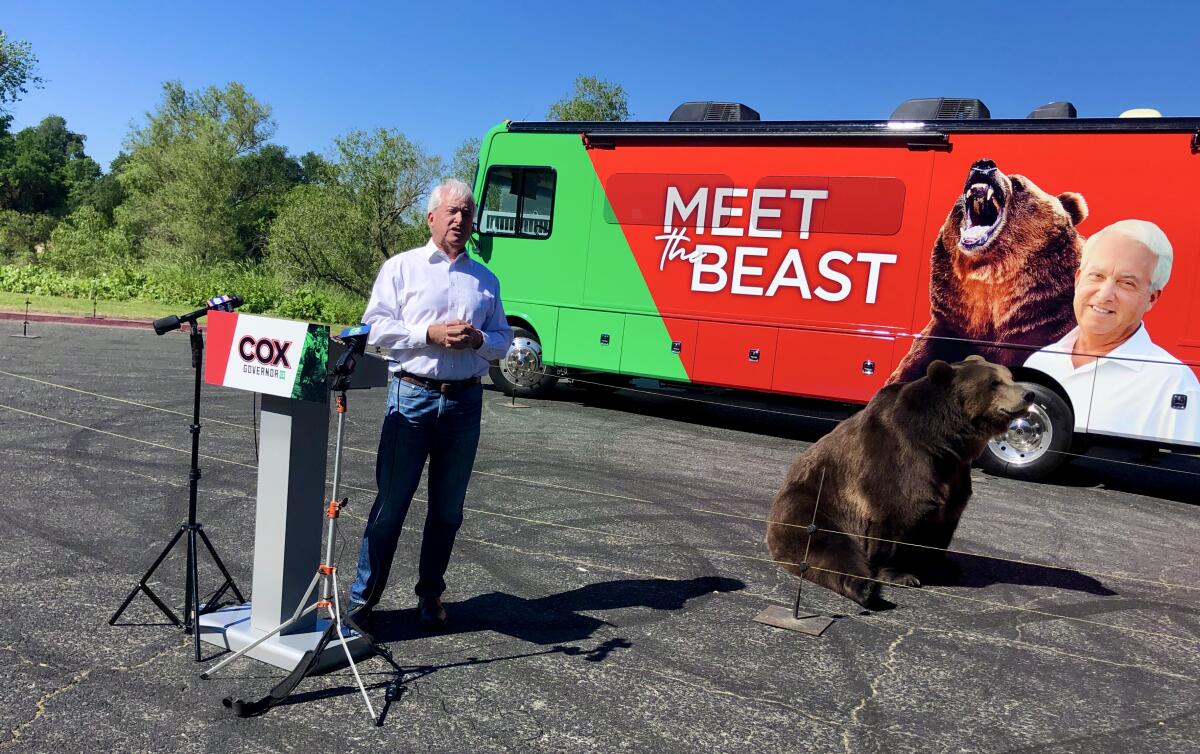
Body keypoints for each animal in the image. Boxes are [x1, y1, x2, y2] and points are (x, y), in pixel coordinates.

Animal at [768, 355, 1032, 609]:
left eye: (1010, 376)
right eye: (994, 382)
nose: (1028, 394)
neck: (942, 441)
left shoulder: (952, 474)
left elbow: (942, 523)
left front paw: (939, 567)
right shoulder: (897, 459)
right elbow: (894, 515)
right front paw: (900, 575)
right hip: (813, 506)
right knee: (828, 547)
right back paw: (865, 588)